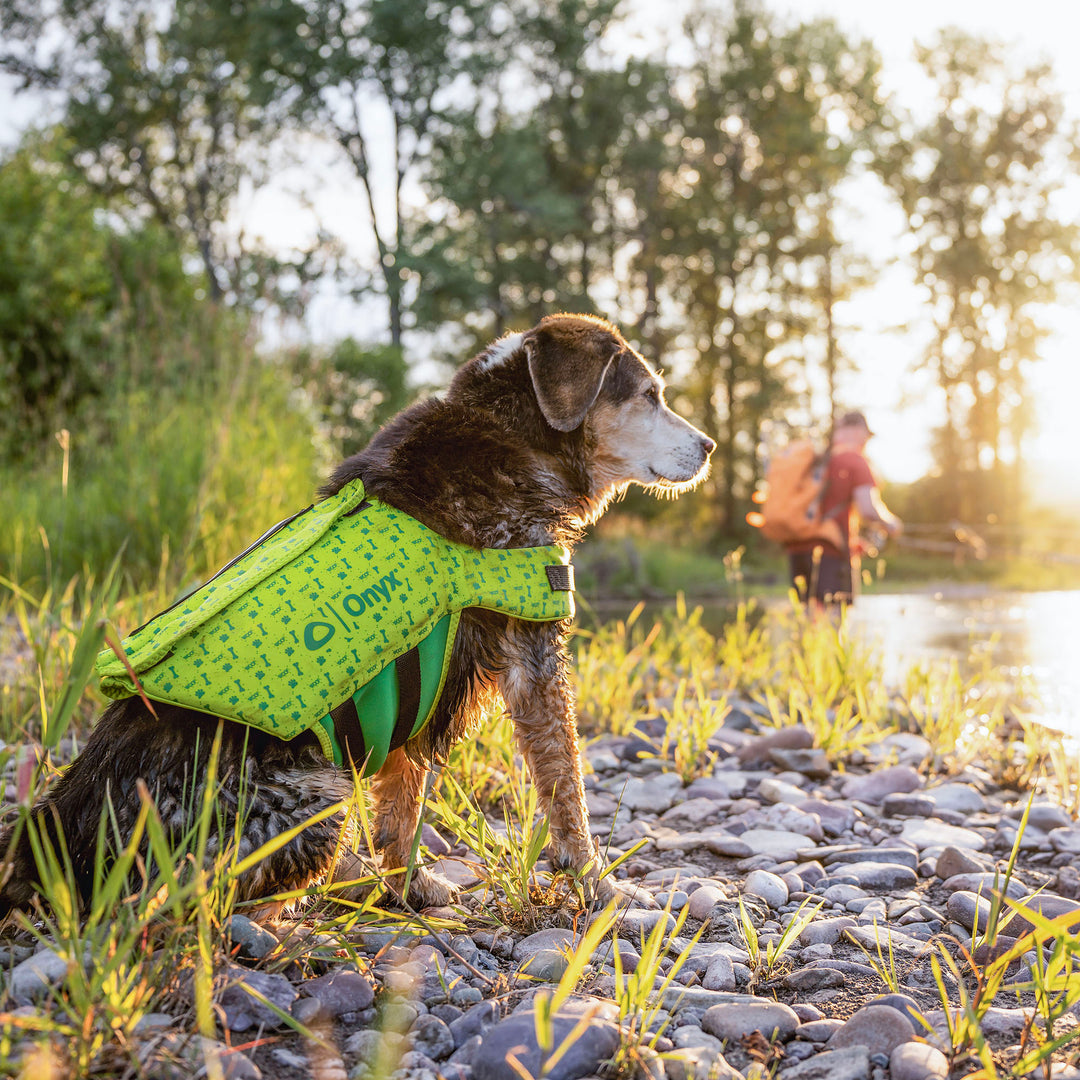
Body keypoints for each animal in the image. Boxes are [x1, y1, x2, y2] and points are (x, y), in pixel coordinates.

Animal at [2, 315, 717, 915]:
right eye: (648, 395)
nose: (710, 445)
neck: (511, 437)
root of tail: (60, 834)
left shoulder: (415, 696)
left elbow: (403, 800)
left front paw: (408, 886)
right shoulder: (534, 656)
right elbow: (566, 789)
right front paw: (602, 884)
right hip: (314, 796)